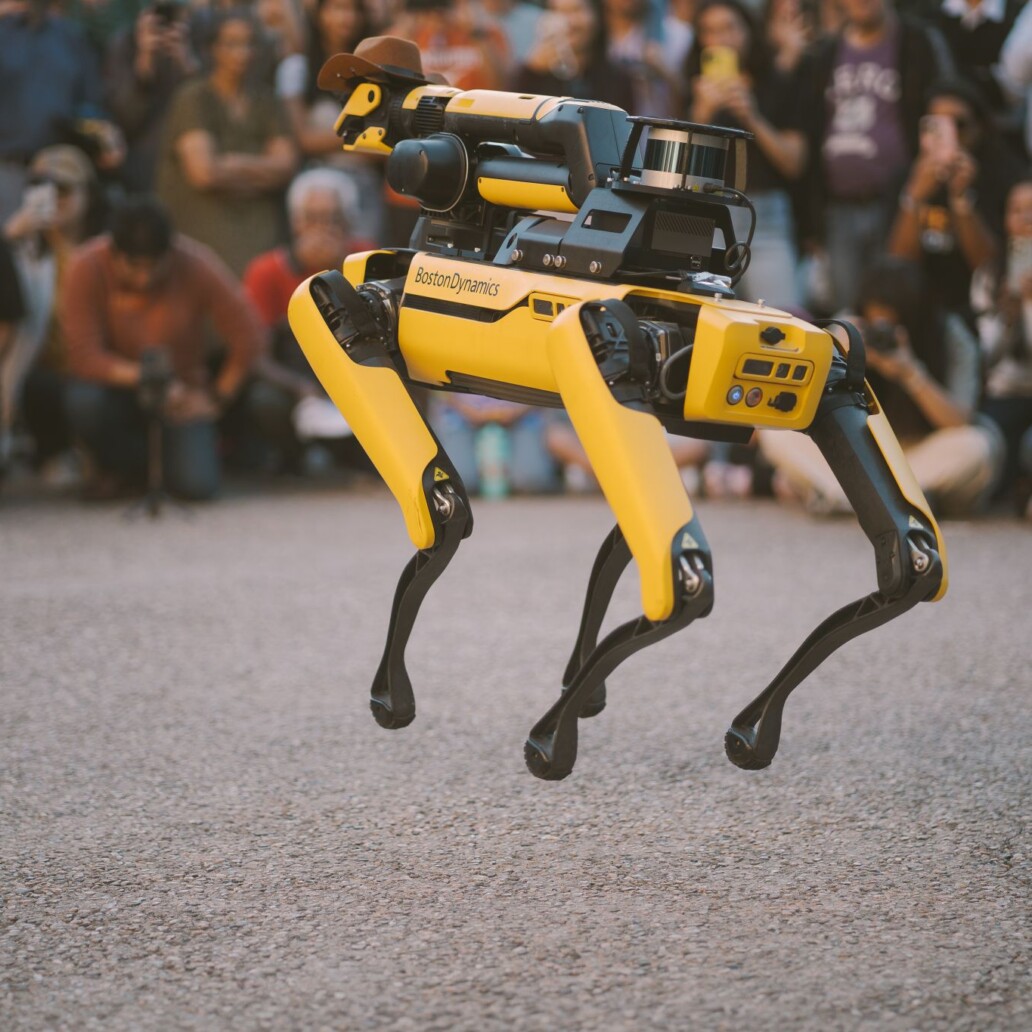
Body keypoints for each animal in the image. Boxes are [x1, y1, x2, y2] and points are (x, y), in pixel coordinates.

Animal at [286, 38, 945, 780]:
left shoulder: (829, 381)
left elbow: (902, 557)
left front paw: (561, 733)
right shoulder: (597, 343)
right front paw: (551, 725)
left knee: (899, 555)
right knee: (446, 499)